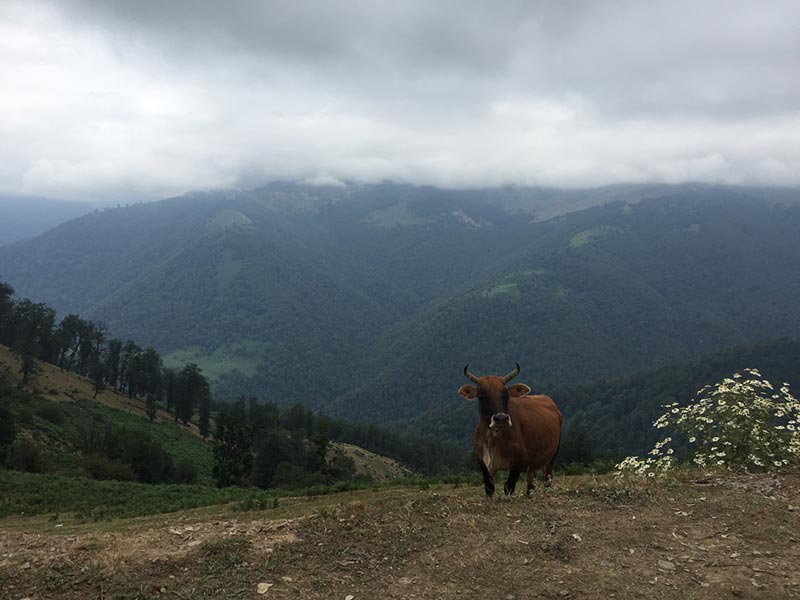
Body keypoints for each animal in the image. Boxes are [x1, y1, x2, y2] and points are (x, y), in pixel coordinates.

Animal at [456, 366, 564, 496]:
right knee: (531, 482)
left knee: (547, 478)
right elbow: (489, 488)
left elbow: (508, 487)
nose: (501, 418)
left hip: (552, 456)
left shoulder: (518, 462)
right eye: (481, 395)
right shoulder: (483, 462)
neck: (492, 438)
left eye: (506, 395)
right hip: (532, 464)